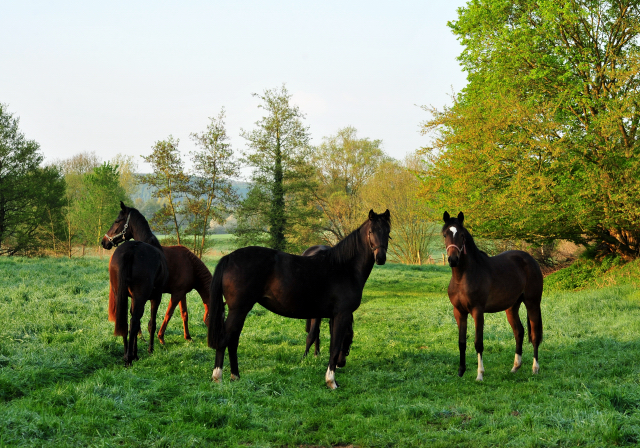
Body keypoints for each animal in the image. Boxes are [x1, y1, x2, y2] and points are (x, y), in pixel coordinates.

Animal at [101, 203, 169, 368]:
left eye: (117, 221)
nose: (104, 241)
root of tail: (130, 250)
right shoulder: (156, 297)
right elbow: (151, 323)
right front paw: (150, 350)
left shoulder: (132, 297)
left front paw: (136, 353)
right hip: (141, 297)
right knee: (134, 321)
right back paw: (129, 358)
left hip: (121, 295)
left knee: (126, 322)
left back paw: (127, 355)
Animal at [209, 210, 390, 388]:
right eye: (371, 231)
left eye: (388, 232)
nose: (380, 258)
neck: (345, 267)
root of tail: (230, 257)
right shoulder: (342, 314)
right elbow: (334, 346)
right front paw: (331, 381)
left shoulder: (332, 315)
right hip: (238, 310)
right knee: (225, 339)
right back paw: (218, 377)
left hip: (241, 311)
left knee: (233, 340)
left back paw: (235, 376)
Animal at [442, 212, 544, 380]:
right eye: (445, 234)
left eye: (461, 235)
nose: (453, 260)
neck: (463, 277)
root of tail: (530, 259)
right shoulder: (459, 312)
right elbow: (461, 342)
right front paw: (461, 371)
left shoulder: (477, 311)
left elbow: (478, 343)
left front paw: (480, 374)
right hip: (512, 307)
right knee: (519, 332)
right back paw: (515, 367)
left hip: (532, 303)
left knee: (535, 334)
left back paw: (535, 368)